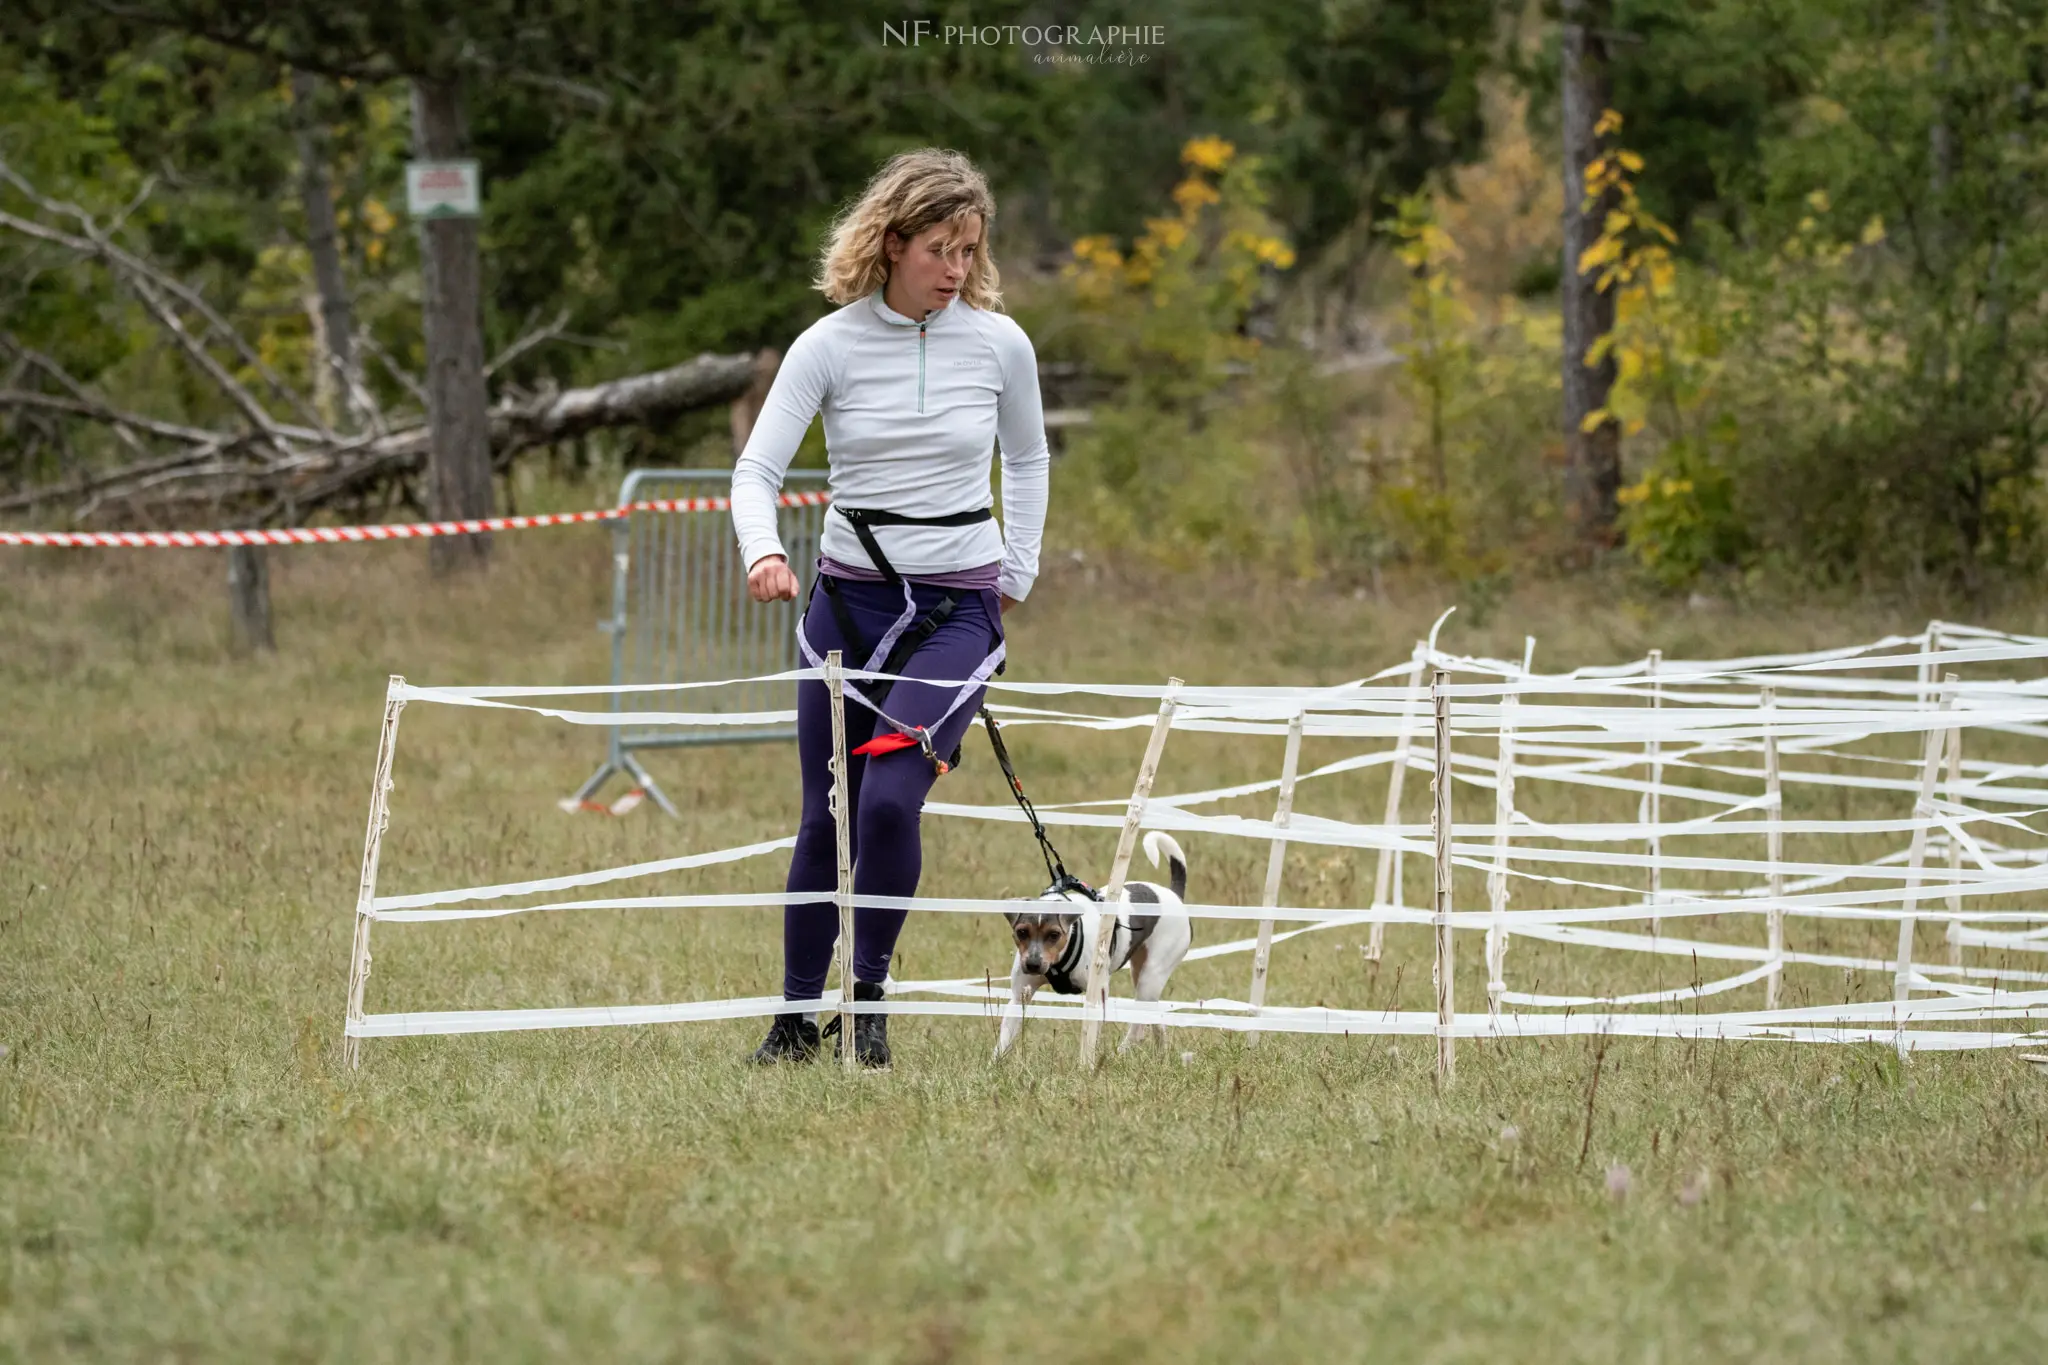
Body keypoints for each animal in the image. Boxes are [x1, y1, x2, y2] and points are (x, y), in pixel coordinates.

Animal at [995, 826, 1196, 1064]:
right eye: (1022, 932)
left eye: (1054, 935)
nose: (1033, 964)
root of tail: (1174, 895)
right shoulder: (1019, 997)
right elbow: (1004, 1041)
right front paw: (994, 1067)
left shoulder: (1096, 998)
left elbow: (1089, 1038)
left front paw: (1087, 1066)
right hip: (1143, 977)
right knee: (1155, 1018)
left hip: (1151, 977)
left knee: (1138, 1027)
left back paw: (1121, 1054)